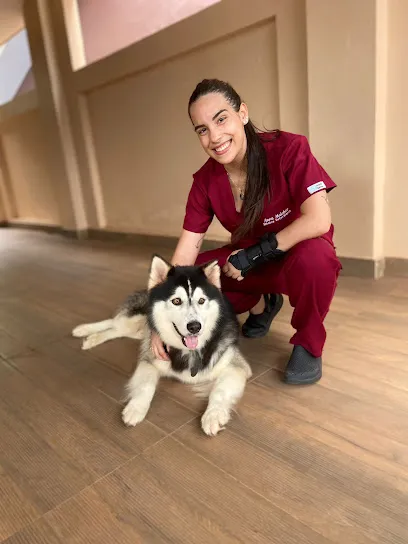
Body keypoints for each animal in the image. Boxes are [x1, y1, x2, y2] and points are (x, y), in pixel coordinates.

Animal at [72, 255, 252, 438]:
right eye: (177, 301)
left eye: (202, 301)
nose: (195, 327)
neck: (188, 350)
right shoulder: (150, 358)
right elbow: (146, 385)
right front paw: (135, 408)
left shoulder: (236, 367)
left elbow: (220, 391)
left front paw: (212, 415)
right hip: (140, 323)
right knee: (115, 323)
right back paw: (84, 331)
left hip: (139, 331)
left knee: (116, 329)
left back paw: (90, 338)